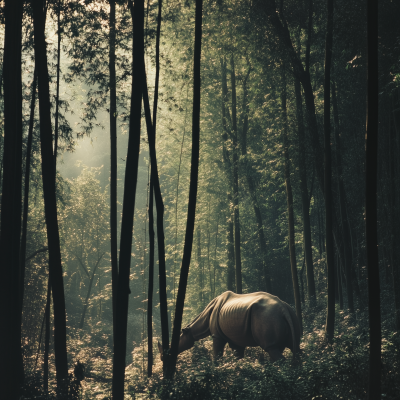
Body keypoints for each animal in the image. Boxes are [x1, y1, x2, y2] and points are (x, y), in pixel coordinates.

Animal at [158, 290, 302, 362]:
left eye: (177, 342)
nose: (162, 358)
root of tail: (283, 308)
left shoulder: (217, 335)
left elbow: (217, 356)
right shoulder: (236, 340)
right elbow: (238, 357)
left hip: (267, 316)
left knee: (271, 348)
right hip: (290, 316)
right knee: (293, 347)